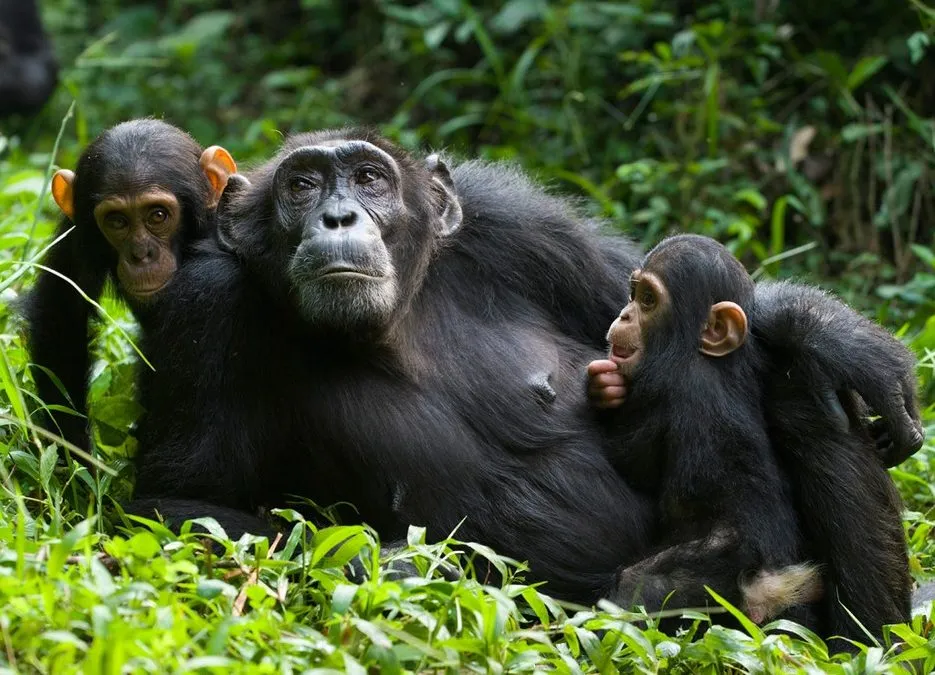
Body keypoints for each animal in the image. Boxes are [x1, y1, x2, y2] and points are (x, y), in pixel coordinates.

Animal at [22, 120, 238, 454]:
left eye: (158, 215)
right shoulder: (76, 231)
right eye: (117, 221)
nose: (140, 254)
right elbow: (62, 316)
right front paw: (74, 456)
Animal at [588, 236, 912, 644]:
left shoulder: (666, 391)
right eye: (633, 294)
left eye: (647, 300)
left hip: (716, 573)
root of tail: (771, 582)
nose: (625, 315)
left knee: (639, 587)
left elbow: (631, 459)